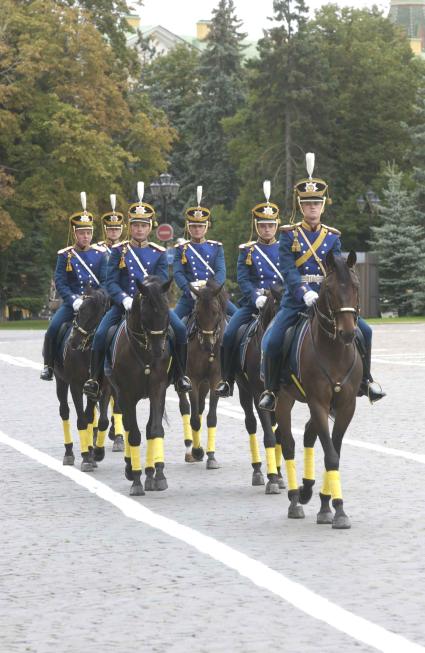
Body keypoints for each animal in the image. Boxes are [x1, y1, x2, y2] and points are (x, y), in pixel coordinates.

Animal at [52, 286, 108, 468]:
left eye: (88, 313)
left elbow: (94, 418)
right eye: (79, 311)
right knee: (64, 411)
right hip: (61, 382)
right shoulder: (75, 386)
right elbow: (82, 420)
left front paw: (94, 453)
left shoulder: (101, 388)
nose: (72, 342)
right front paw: (86, 456)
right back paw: (69, 452)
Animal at [107, 274, 172, 494]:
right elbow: (133, 434)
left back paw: (150, 473)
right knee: (128, 427)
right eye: (145, 314)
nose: (159, 351)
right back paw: (130, 468)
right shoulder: (126, 395)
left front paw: (159, 475)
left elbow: (155, 429)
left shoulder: (157, 390)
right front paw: (135, 479)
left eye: (167, 310)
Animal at [177, 278, 227, 466]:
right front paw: (197, 451)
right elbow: (194, 420)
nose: (207, 343)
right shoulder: (192, 379)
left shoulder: (215, 380)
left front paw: (211, 456)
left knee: (199, 407)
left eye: (215, 311)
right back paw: (190, 448)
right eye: (197, 313)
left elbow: (210, 417)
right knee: (186, 408)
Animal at [272, 251, 362, 528]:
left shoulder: (346, 406)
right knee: (288, 444)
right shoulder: (318, 403)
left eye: (355, 287)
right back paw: (294, 498)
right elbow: (330, 454)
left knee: (308, 435)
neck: (335, 351)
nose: (347, 333)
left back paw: (308, 490)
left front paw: (327, 505)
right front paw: (339, 509)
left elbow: (334, 450)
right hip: (283, 400)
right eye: (329, 290)